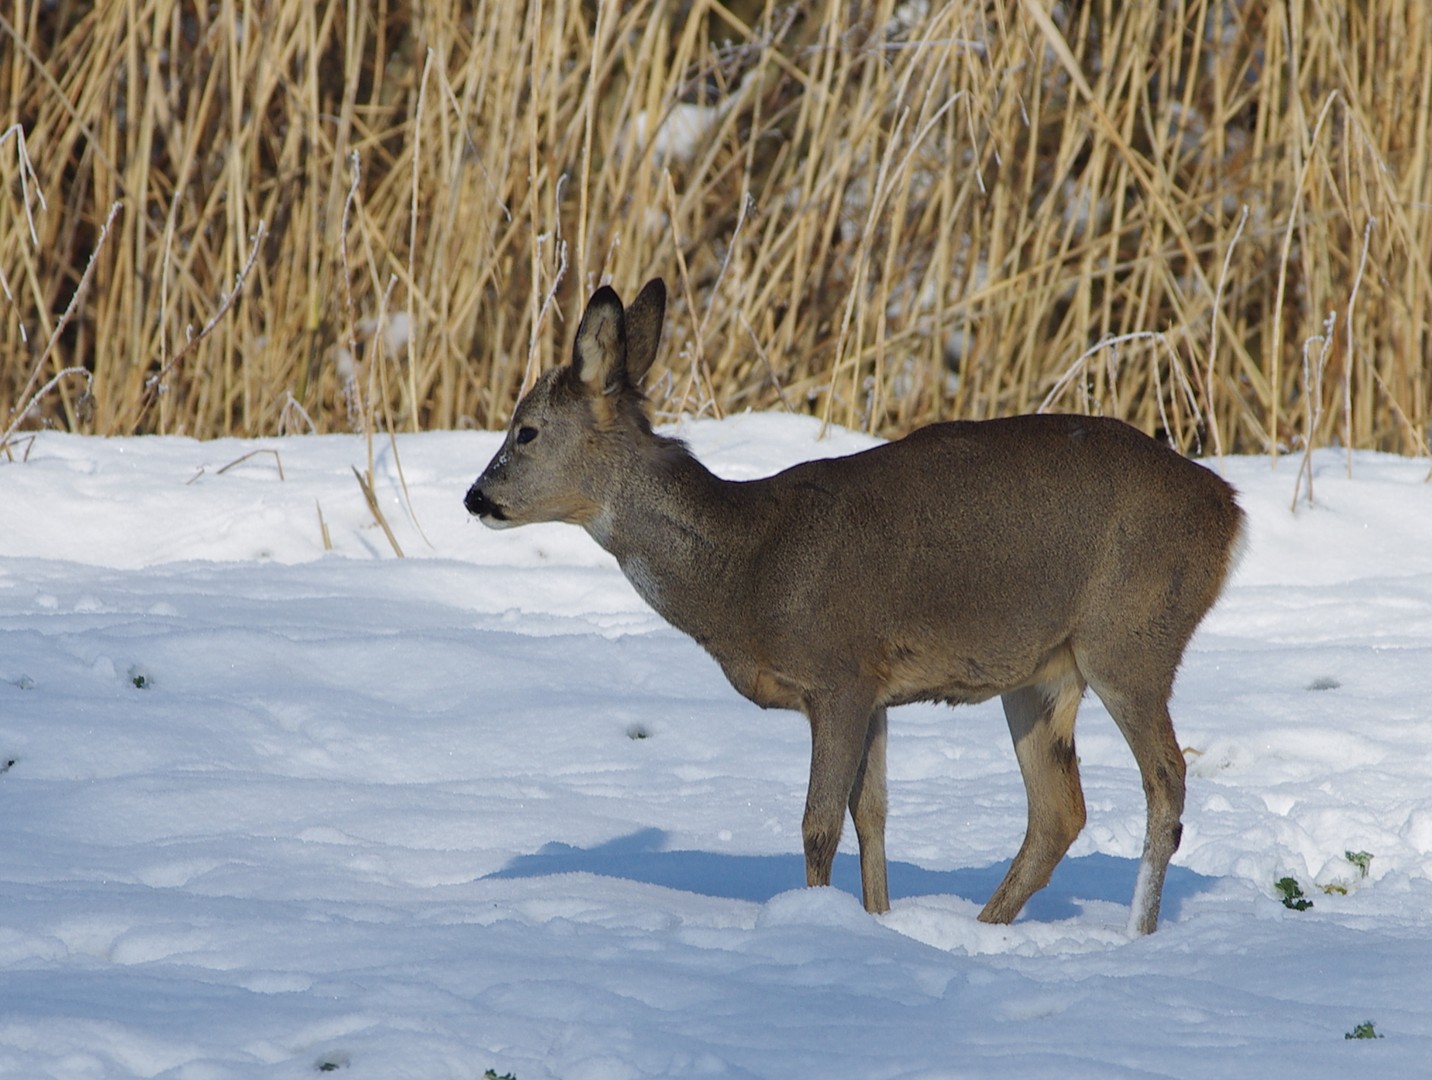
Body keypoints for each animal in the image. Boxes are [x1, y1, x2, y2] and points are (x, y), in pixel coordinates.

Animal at [466, 277, 1242, 933]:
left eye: (525, 430)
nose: (476, 497)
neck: (751, 570)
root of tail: (1229, 511)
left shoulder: (837, 671)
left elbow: (819, 825)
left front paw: (815, 926)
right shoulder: (876, 691)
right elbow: (872, 818)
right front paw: (877, 925)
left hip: (1130, 637)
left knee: (1165, 786)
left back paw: (1136, 933)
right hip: (1043, 672)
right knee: (1059, 812)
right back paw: (985, 928)